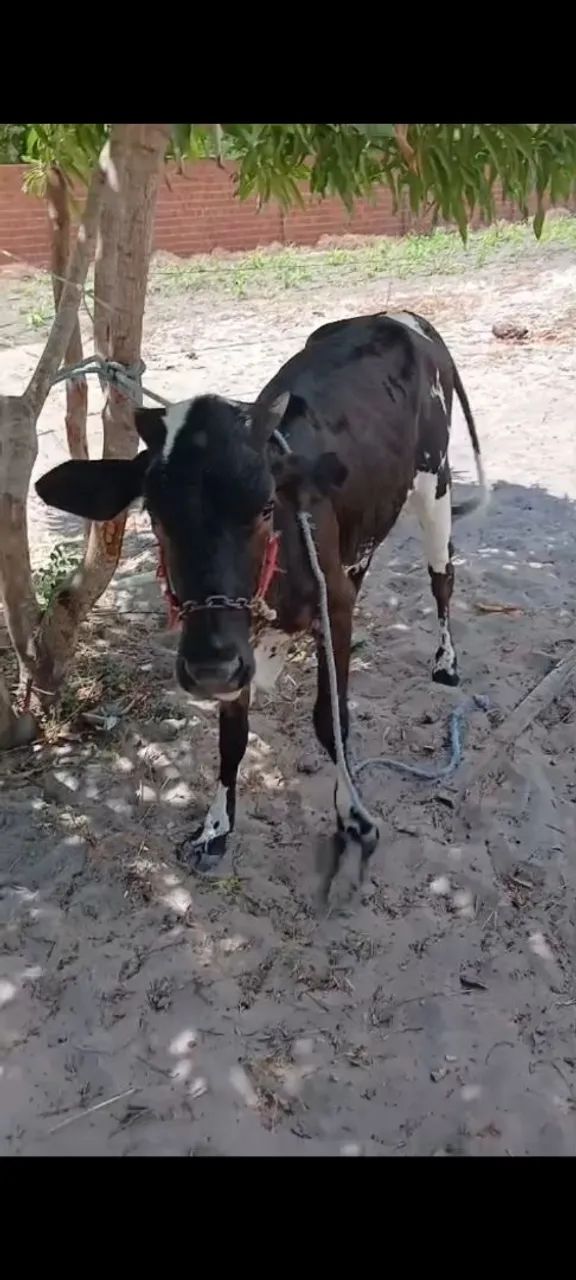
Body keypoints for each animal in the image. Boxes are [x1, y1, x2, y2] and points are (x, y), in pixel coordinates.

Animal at [36, 310, 487, 893]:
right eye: (154, 514)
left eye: (267, 505)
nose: (208, 667)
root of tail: (400, 317)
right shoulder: (235, 645)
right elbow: (232, 738)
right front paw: (215, 828)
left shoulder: (331, 608)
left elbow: (332, 718)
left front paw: (352, 815)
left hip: (436, 482)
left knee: (442, 575)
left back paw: (446, 661)